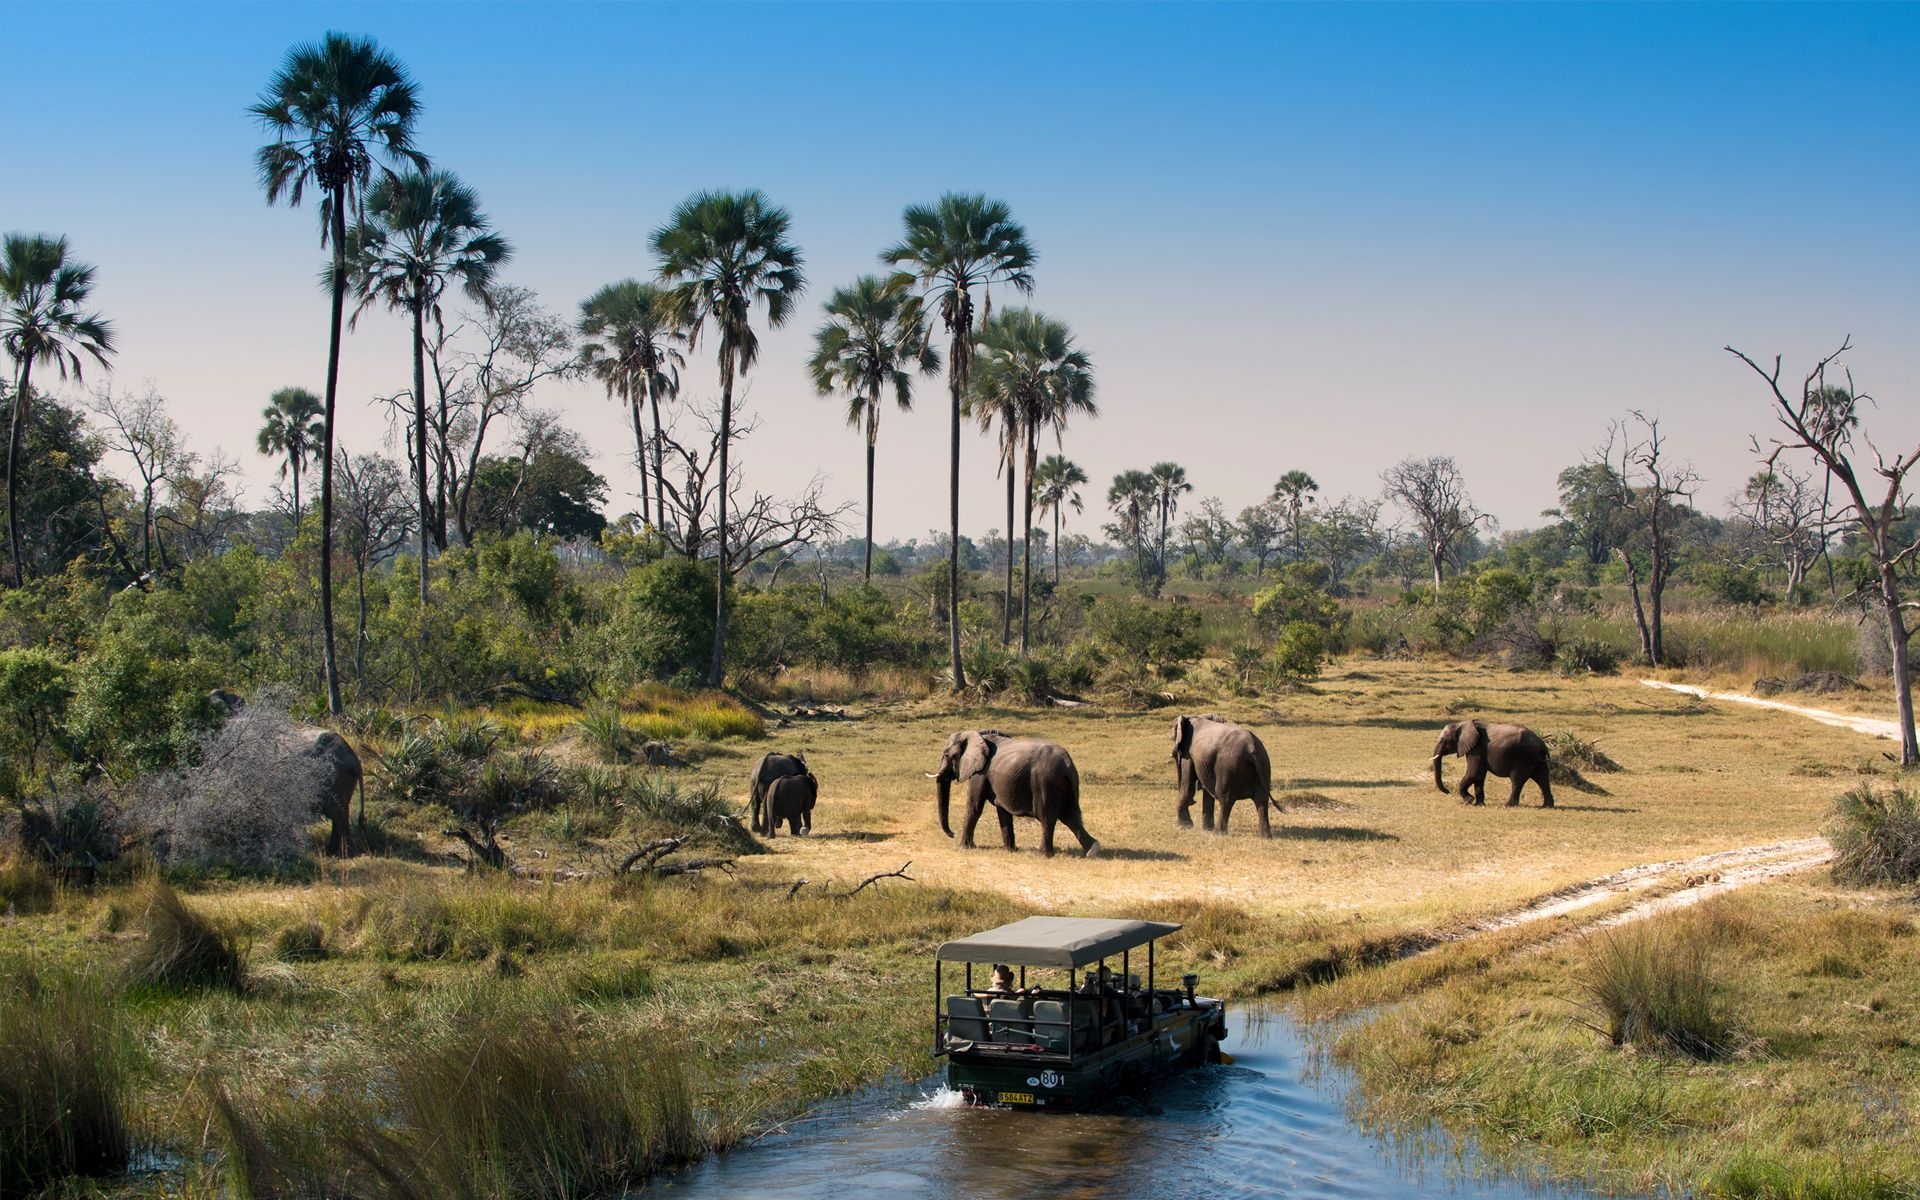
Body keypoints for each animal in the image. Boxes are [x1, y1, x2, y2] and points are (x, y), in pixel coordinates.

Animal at [925, 725, 1105, 856]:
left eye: (946, 755)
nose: (952, 834)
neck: (978, 734)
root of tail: (1067, 764)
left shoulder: (981, 773)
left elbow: (974, 806)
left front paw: (963, 847)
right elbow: (1003, 811)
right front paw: (1010, 850)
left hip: (1045, 782)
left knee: (1047, 817)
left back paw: (1042, 854)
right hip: (1068, 785)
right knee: (1071, 816)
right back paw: (1092, 851)